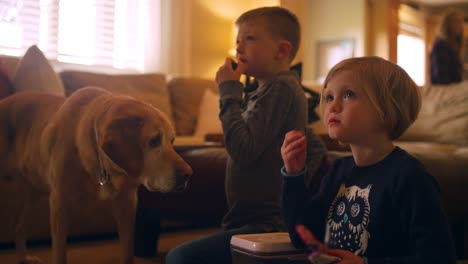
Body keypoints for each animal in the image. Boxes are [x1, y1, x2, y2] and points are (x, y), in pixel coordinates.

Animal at [0, 85, 192, 262]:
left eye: (172, 141)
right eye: (154, 141)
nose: (188, 174)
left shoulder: (127, 203)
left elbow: (127, 251)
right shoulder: (59, 204)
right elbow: (60, 253)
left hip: (35, 193)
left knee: (18, 227)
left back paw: (23, 258)